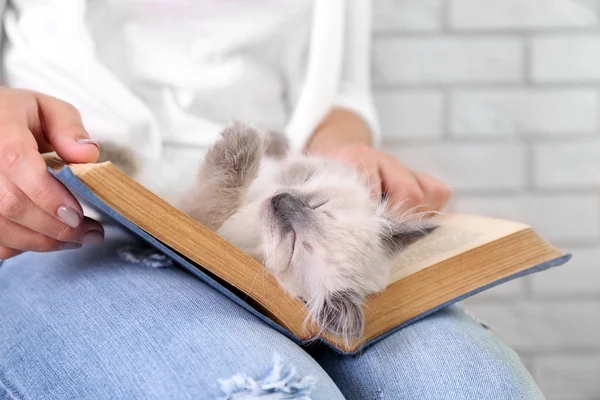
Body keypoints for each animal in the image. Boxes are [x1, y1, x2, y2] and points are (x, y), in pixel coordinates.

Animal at [97, 124, 436, 340]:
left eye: (296, 245)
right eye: (319, 205)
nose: (281, 202)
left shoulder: (204, 222)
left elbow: (217, 194)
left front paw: (242, 138)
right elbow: (289, 159)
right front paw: (267, 138)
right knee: (134, 163)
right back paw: (103, 150)